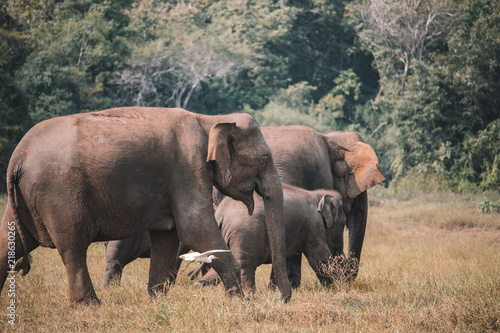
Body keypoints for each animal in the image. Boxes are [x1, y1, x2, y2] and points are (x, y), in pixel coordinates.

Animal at [0, 107, 292, 304]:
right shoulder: (189, 168)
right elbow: (195, 229)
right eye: (264, 160)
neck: (209, 119)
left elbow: (168, 235)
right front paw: (241, 303)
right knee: (73, 246)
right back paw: (90, 306)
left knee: (11, 241)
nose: (282, 299)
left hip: (27, 198)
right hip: (59, 193)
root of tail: (17, 157)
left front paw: (157, 300)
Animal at [193, 183, 346, 292]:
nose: (347, 282)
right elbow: (319, 258)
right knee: (244, 265)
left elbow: (287, 259)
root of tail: (221, 214)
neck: (318, 194)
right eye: (343, 223)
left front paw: (274, 291)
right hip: (245, 233)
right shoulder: (313, 227)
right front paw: (336, 288)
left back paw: (200, 285)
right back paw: (249, 294)